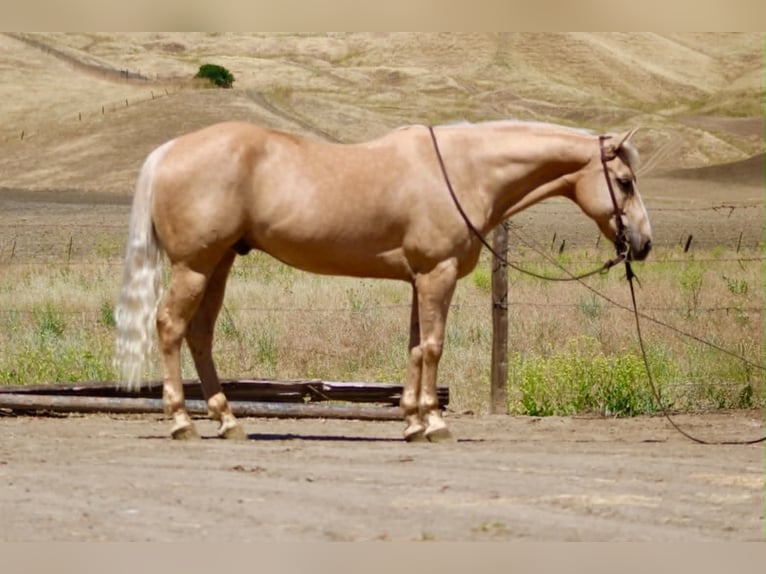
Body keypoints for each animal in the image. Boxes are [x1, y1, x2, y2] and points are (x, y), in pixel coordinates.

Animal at [114, 120, 652, 442]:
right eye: (624, 182)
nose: (644, 243)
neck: (464, 171)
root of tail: (168, 151)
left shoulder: (420, 279)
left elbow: (415, 347)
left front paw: (412, 421)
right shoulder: (437, 274)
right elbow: (433, 346)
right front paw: (435, 423)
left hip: (219, 263)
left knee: (200, 335)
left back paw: (227, 420)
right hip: (195, 266)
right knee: (169, 326)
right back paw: (182, 421)